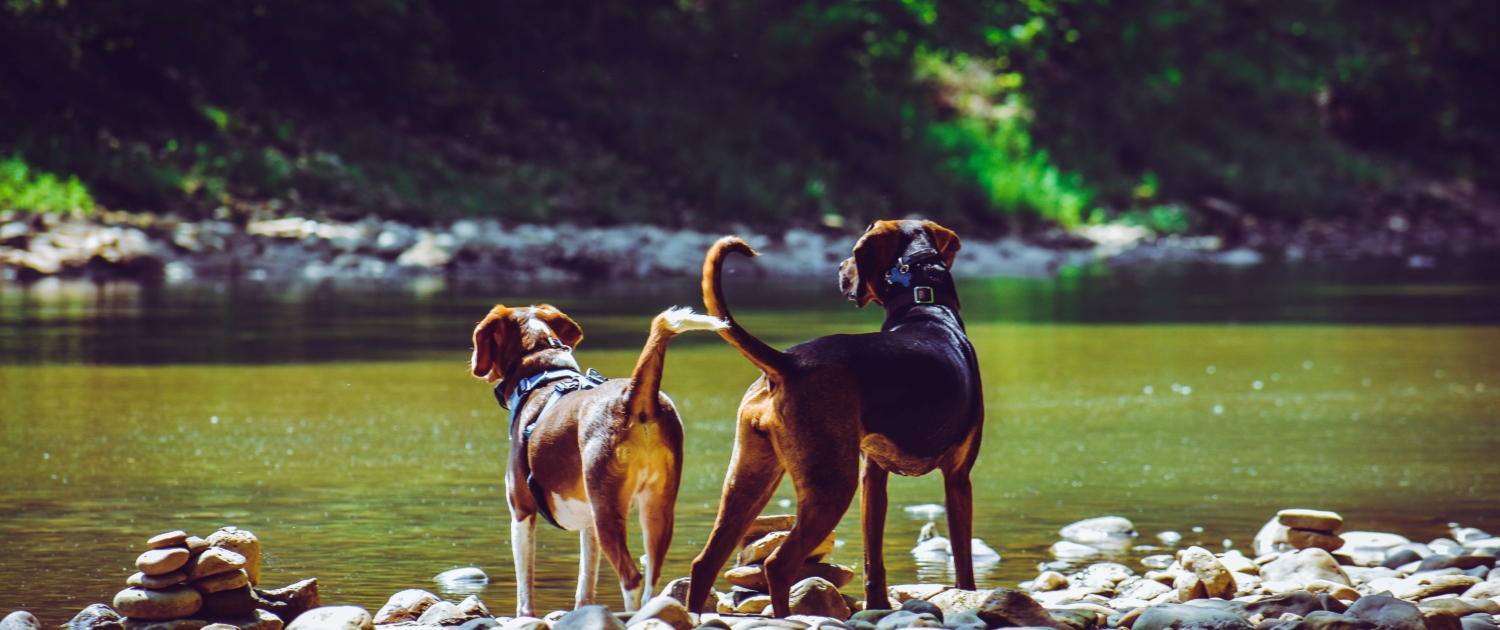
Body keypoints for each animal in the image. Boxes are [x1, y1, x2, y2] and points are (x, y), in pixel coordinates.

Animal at [468, 304, 726, 615]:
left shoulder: (521, 511)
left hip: (608, 514)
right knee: (652, 579)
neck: (543, 374)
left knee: (632, 579)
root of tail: (633, 397)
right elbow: (585, 581)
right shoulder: (588, 522)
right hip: (656, 511)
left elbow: (525, 588)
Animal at [684, 220, 984, 615]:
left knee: (704, 562)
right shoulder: (958, 477)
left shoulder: (873, 477)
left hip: (748, 480)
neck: (926, 305)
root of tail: (788, 362)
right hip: (831, 488)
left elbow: (874, 559)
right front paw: (968, 596)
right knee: (778, 565)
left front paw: (877, 605)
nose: (840, 269)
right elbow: (963, 560)